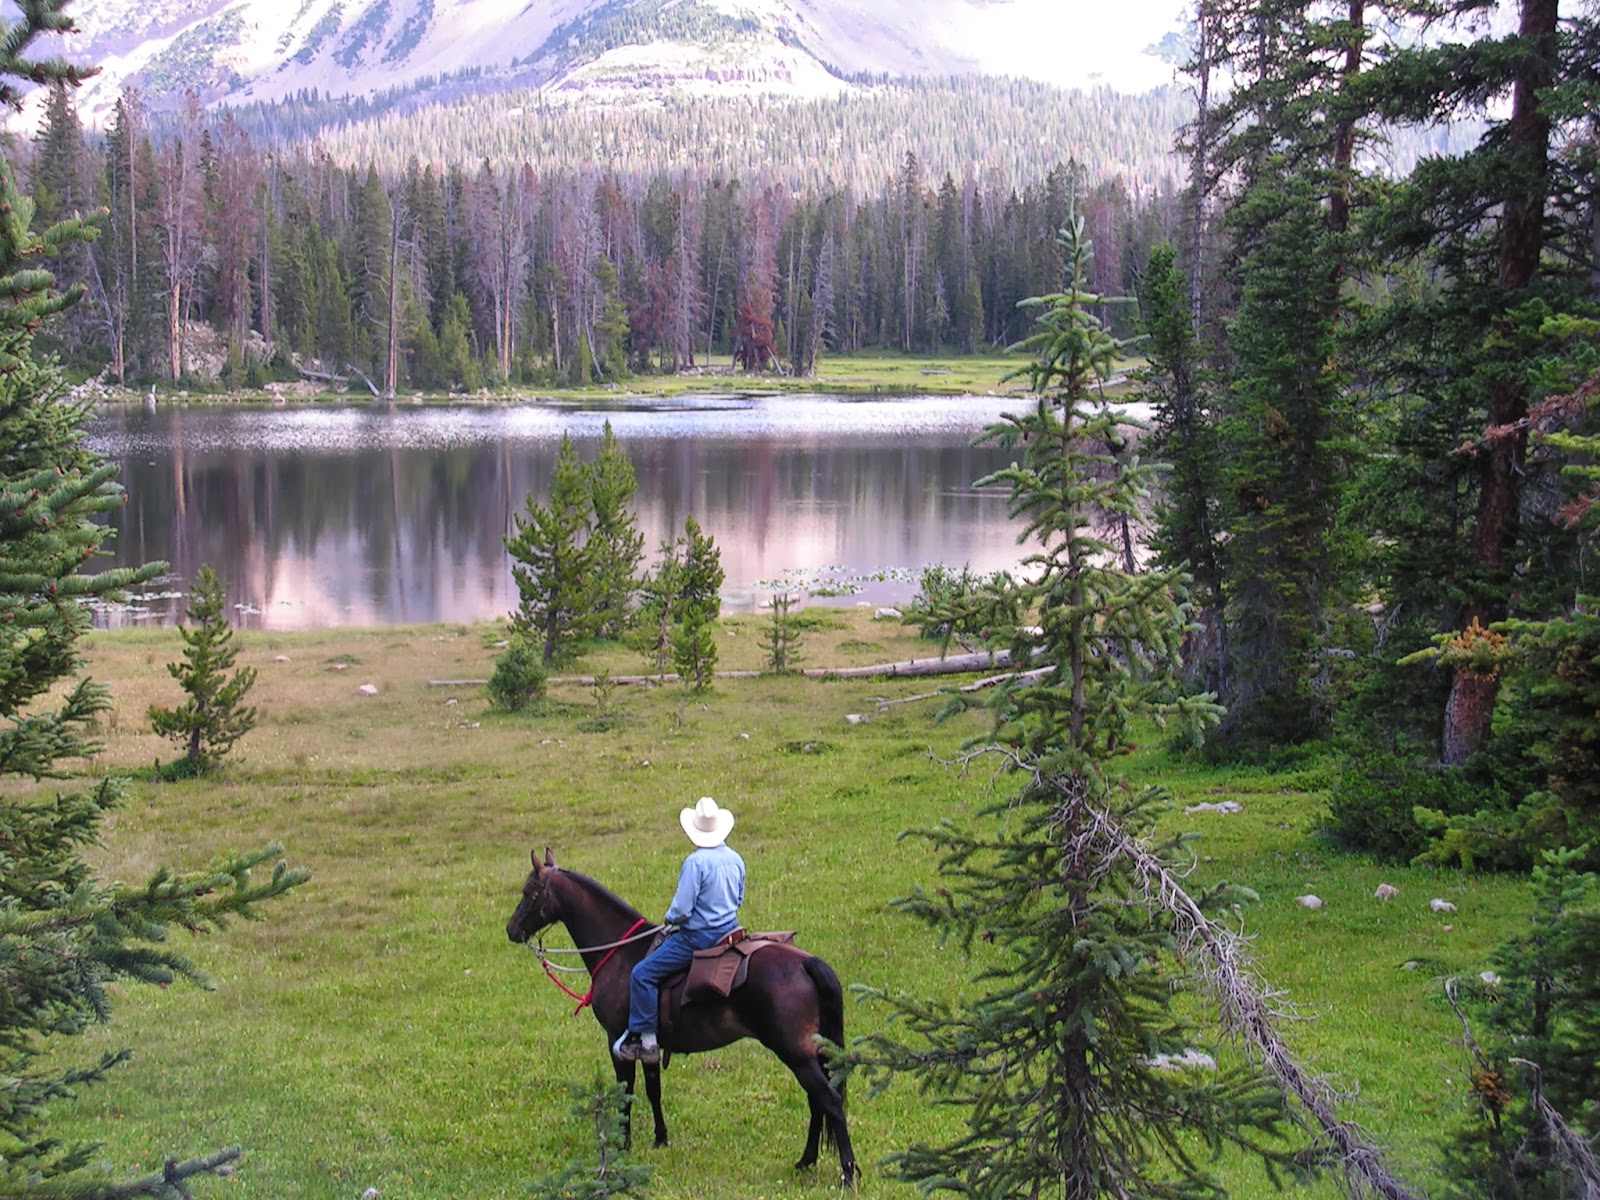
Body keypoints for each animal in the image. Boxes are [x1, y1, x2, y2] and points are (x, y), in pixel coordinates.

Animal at [505, 849, 858, 1184]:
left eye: (529, 892)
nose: (511, 929)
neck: (620, 954)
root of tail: (805, 963)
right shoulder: (648, 1045)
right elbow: (653, 1090)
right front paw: (660, 1140)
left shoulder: (616, 1040)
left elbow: (626, 1093)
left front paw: (622, 1146)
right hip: (814, 1052)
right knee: (817, 1102)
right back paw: (805, 1161)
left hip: (795, 1054)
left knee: (829, 1102)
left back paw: (848, 1173)